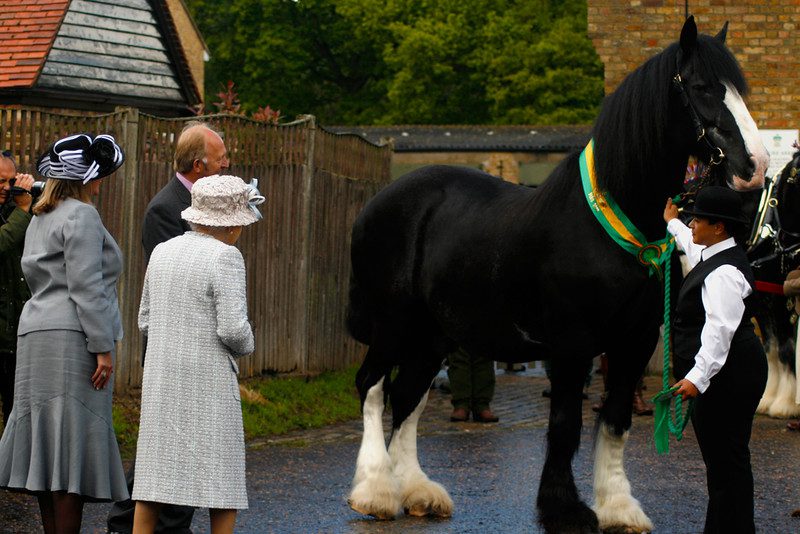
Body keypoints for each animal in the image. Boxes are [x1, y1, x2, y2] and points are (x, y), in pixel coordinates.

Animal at [348, 17, 768, 534]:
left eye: (740, 89)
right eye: (703, 87)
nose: (756, 165)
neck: (604, 224)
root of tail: (380, 201)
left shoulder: (634, 340)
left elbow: (615, 419)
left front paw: (618, 507)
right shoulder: (572, 343)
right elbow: (566, 424)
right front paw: (564, 509)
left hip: (433, 335)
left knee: (409, 397)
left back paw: (418, 493)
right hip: (393, 324)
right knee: (373, 386)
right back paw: (375, 492)